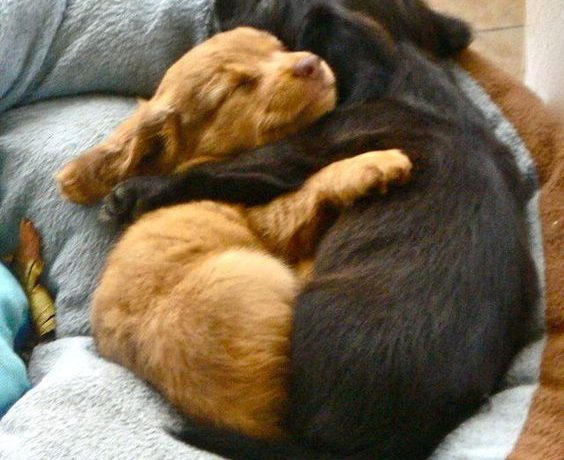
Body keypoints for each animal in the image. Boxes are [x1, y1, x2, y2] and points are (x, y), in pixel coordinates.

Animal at [100, 3, 539, 459]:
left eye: (270, 11)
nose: (215, 7)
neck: (407, 67)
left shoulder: (290, 155)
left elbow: (210, 173)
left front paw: (133, 193)